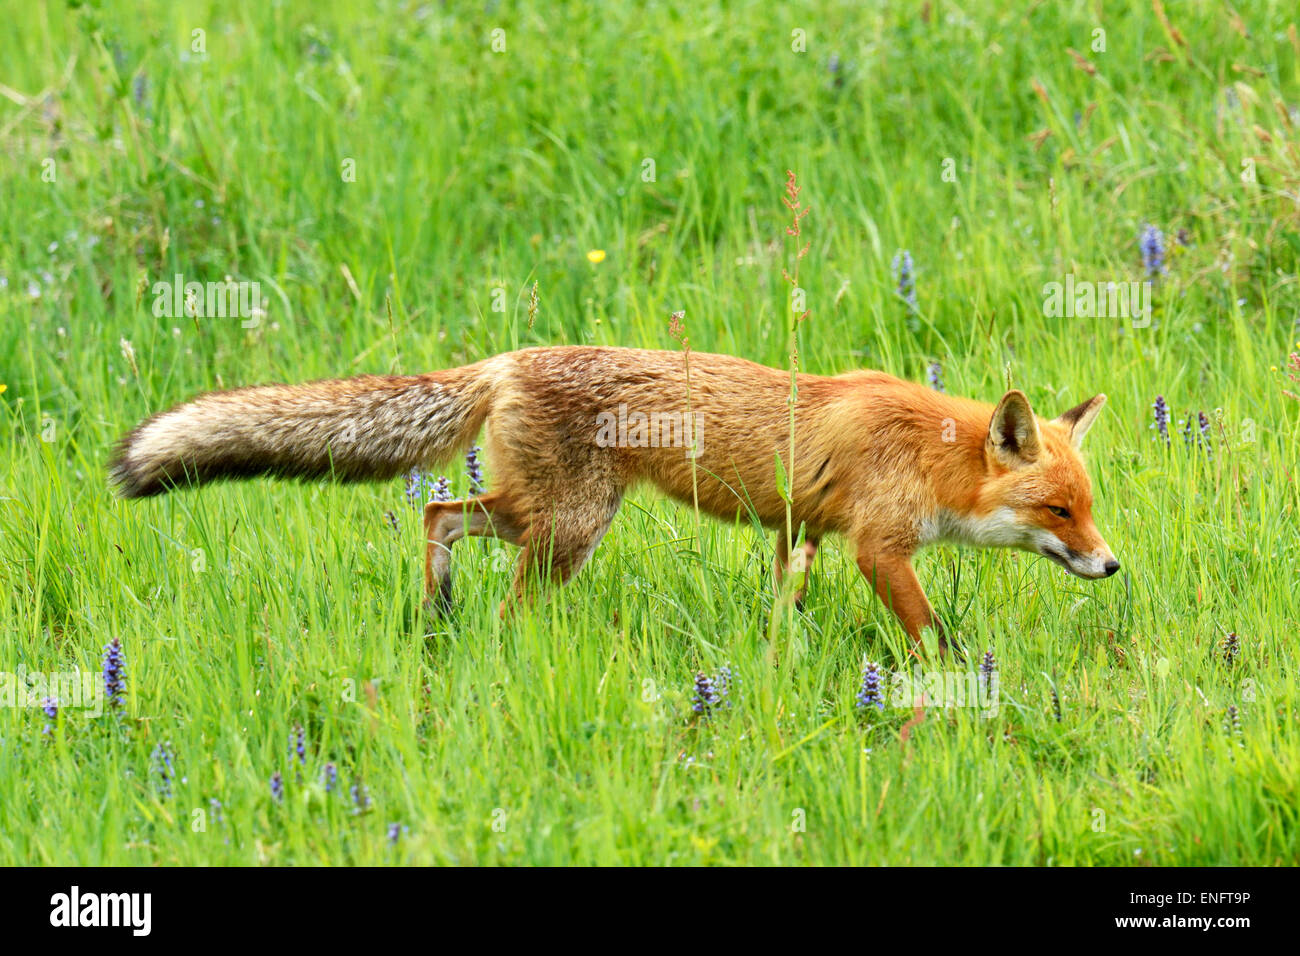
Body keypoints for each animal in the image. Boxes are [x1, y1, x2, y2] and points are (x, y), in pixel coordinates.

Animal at [110, 346, 1118, 652]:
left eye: (1086, 507)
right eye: (1058, 512)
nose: (1112, 565)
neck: (928, 454)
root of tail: (510, 358)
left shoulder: (806, 533)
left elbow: (784, 606)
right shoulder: (878, 546)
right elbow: (931, 636)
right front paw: (961, 686)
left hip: (541, 515)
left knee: (439, 515)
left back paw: (436, 617)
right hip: (571, 528)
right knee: (481, 569)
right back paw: (485, 646)